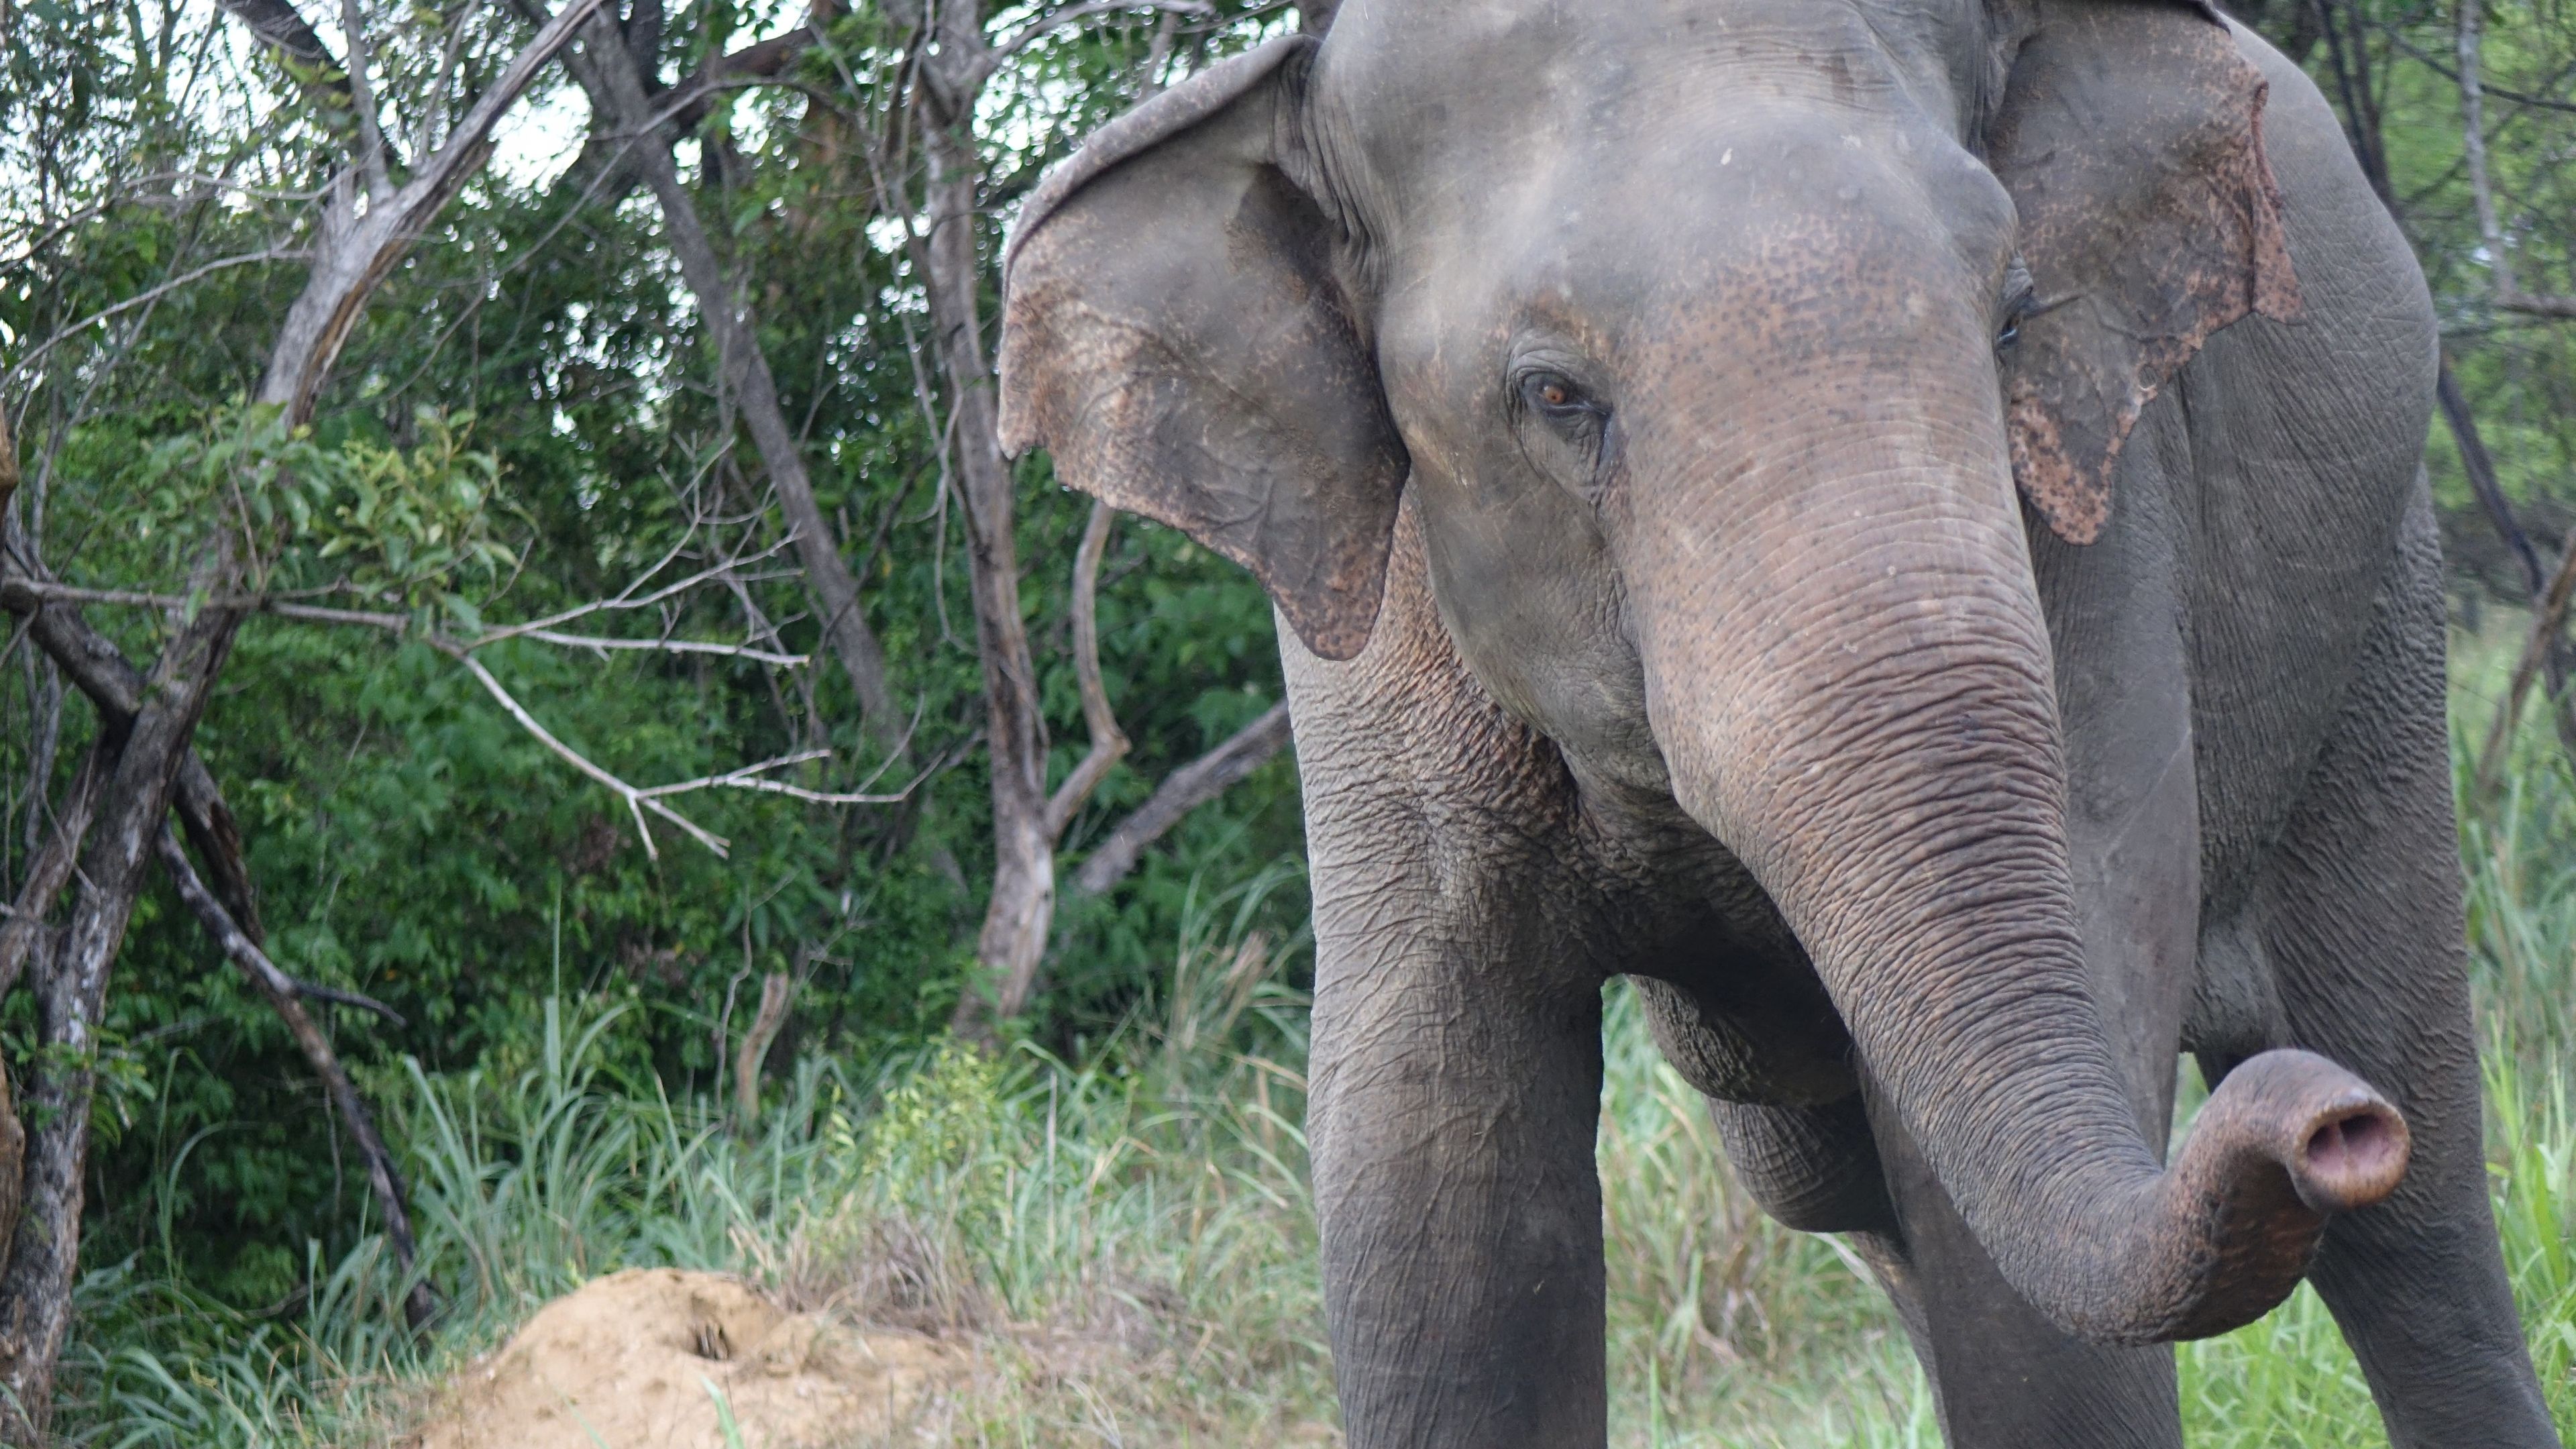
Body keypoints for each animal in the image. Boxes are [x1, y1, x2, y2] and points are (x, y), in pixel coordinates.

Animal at [989, 3, 2555, 1444]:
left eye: (2011, 319)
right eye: (1551, 395)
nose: (2321, 1123)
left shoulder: (2099, 524)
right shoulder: (1369, 642)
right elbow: (1433, 1184)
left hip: (2379, 635)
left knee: (2414, 1202)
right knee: (1859, 1202)